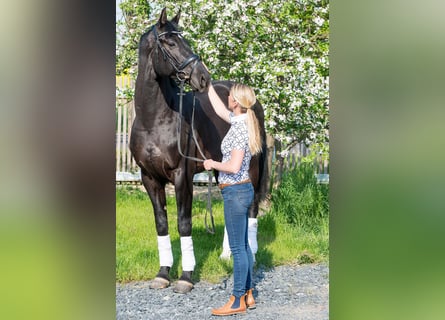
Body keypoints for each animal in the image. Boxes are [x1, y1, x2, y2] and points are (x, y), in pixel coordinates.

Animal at [129, 8, 268, 292]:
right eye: (170, 43)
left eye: (185, 40)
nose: (203, 77)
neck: (154, 120)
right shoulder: (149, 178)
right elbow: (161, 223)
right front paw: (163, 273)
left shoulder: (182, 175)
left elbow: (184, 223)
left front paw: (185, 276)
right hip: (221, 168)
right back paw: (227, 254)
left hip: (251, 167)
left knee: (251, 207)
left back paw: (251, 253)